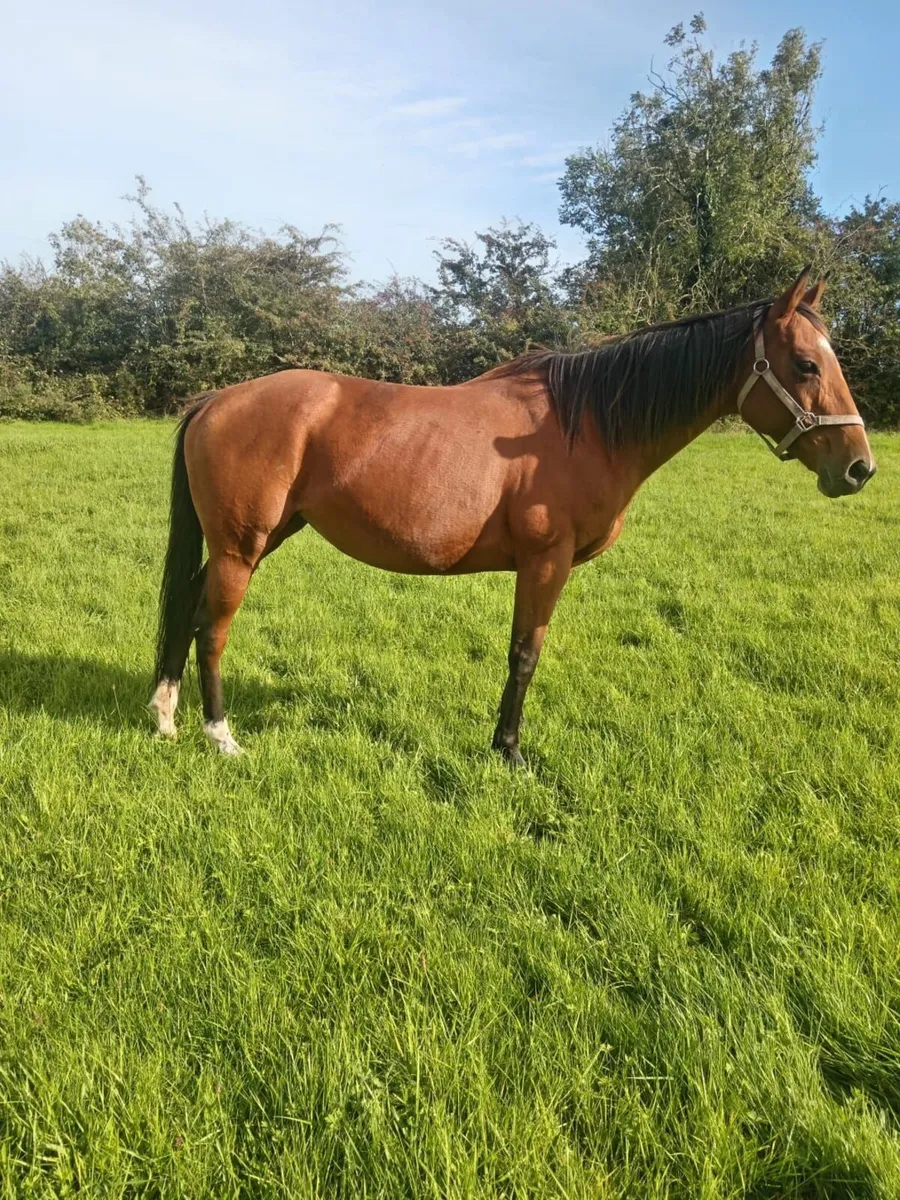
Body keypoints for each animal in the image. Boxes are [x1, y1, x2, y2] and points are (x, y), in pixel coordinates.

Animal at [150, 268, 874, 764]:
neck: (588, 423)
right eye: (805, 364)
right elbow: (525, 653)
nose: (859, 468)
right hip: (242, 547)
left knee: (186, 609)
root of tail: (216, 400)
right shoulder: (545, 562)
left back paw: (165, 716)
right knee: (212, 626)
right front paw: (509, 750)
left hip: (258, 539)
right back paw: (220, 736)